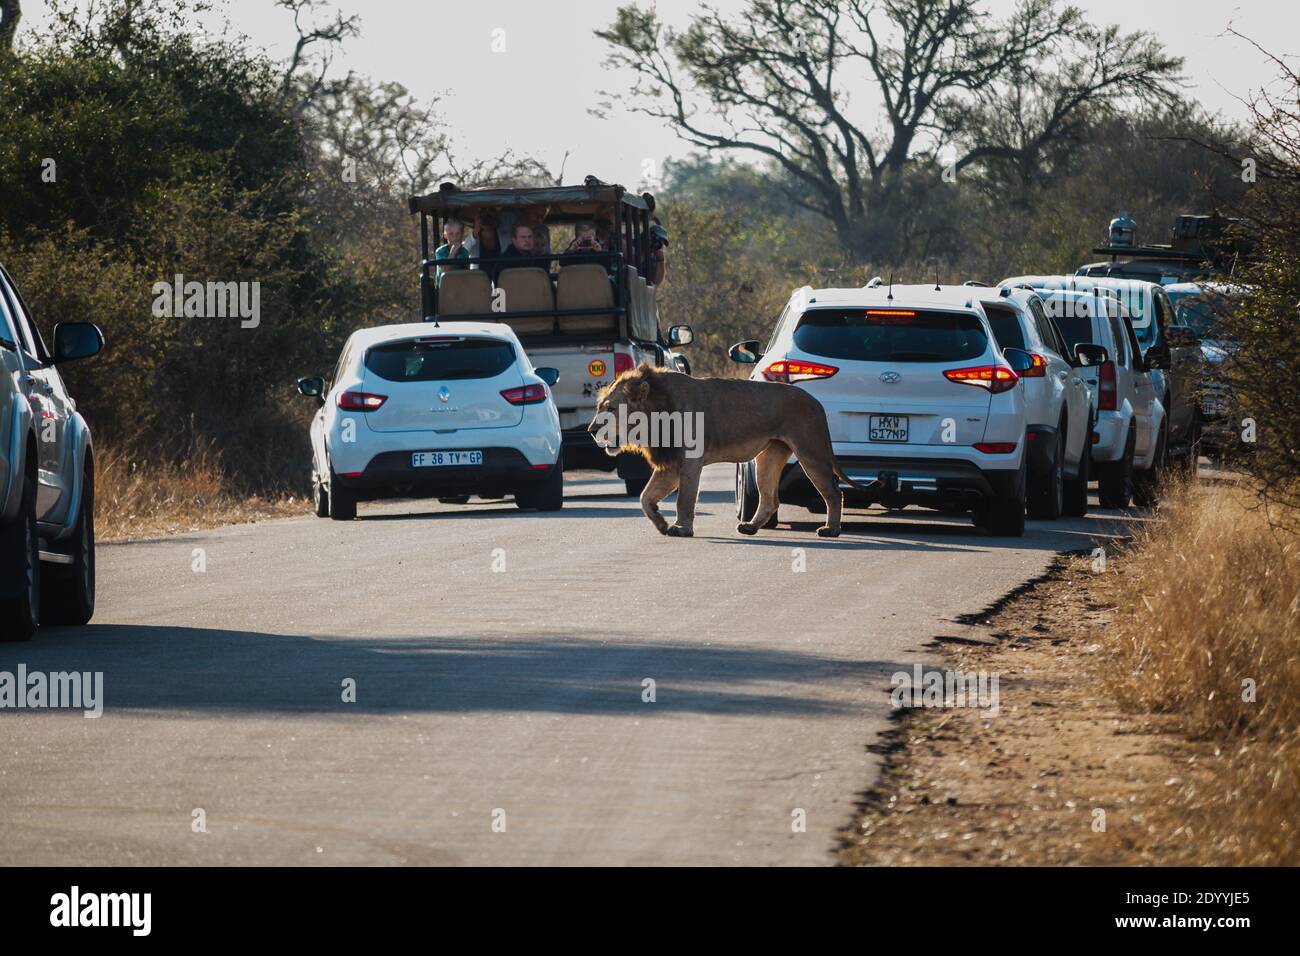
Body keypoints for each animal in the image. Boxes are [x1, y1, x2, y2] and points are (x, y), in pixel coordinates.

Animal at [592, 366, 863, 538]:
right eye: (598, 407)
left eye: (611, 408)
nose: (592, 429)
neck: (654, 416)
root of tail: (816, 401)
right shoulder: (671, 464)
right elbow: (645, 497)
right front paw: (661, 522)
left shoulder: (690, 459)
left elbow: (684, 499)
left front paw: (682, 529)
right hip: (768, 457)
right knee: (770, 499)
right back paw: (750, 527)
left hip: (811, 451)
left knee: (833, 492)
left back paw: (831, 530)